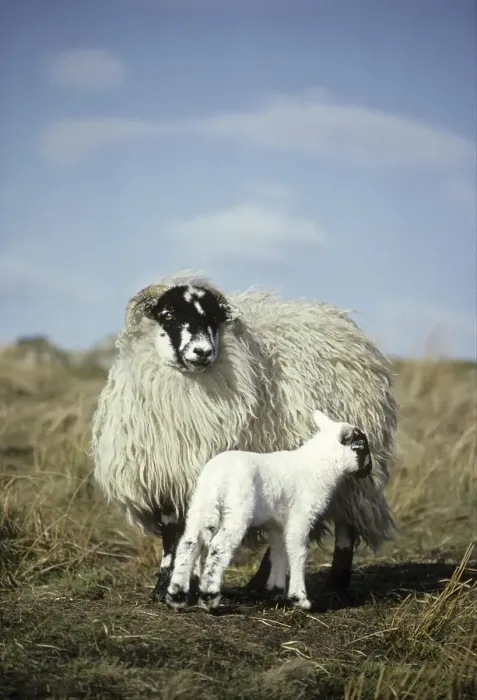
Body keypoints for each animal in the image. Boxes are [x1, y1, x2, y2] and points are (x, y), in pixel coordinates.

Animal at [166, 409, 373, 612]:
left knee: (189, 543)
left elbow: (279, 552)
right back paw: (210, 598)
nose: (368, 469)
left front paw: (276, 591)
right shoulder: (301, 516)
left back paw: (176, 596)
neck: (320, 465)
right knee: (219, 546)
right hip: (237, 509)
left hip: (202, 504)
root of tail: (218, 474)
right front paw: (299, 598)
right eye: (361, 445)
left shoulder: (276, 523)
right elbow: (298, 552)